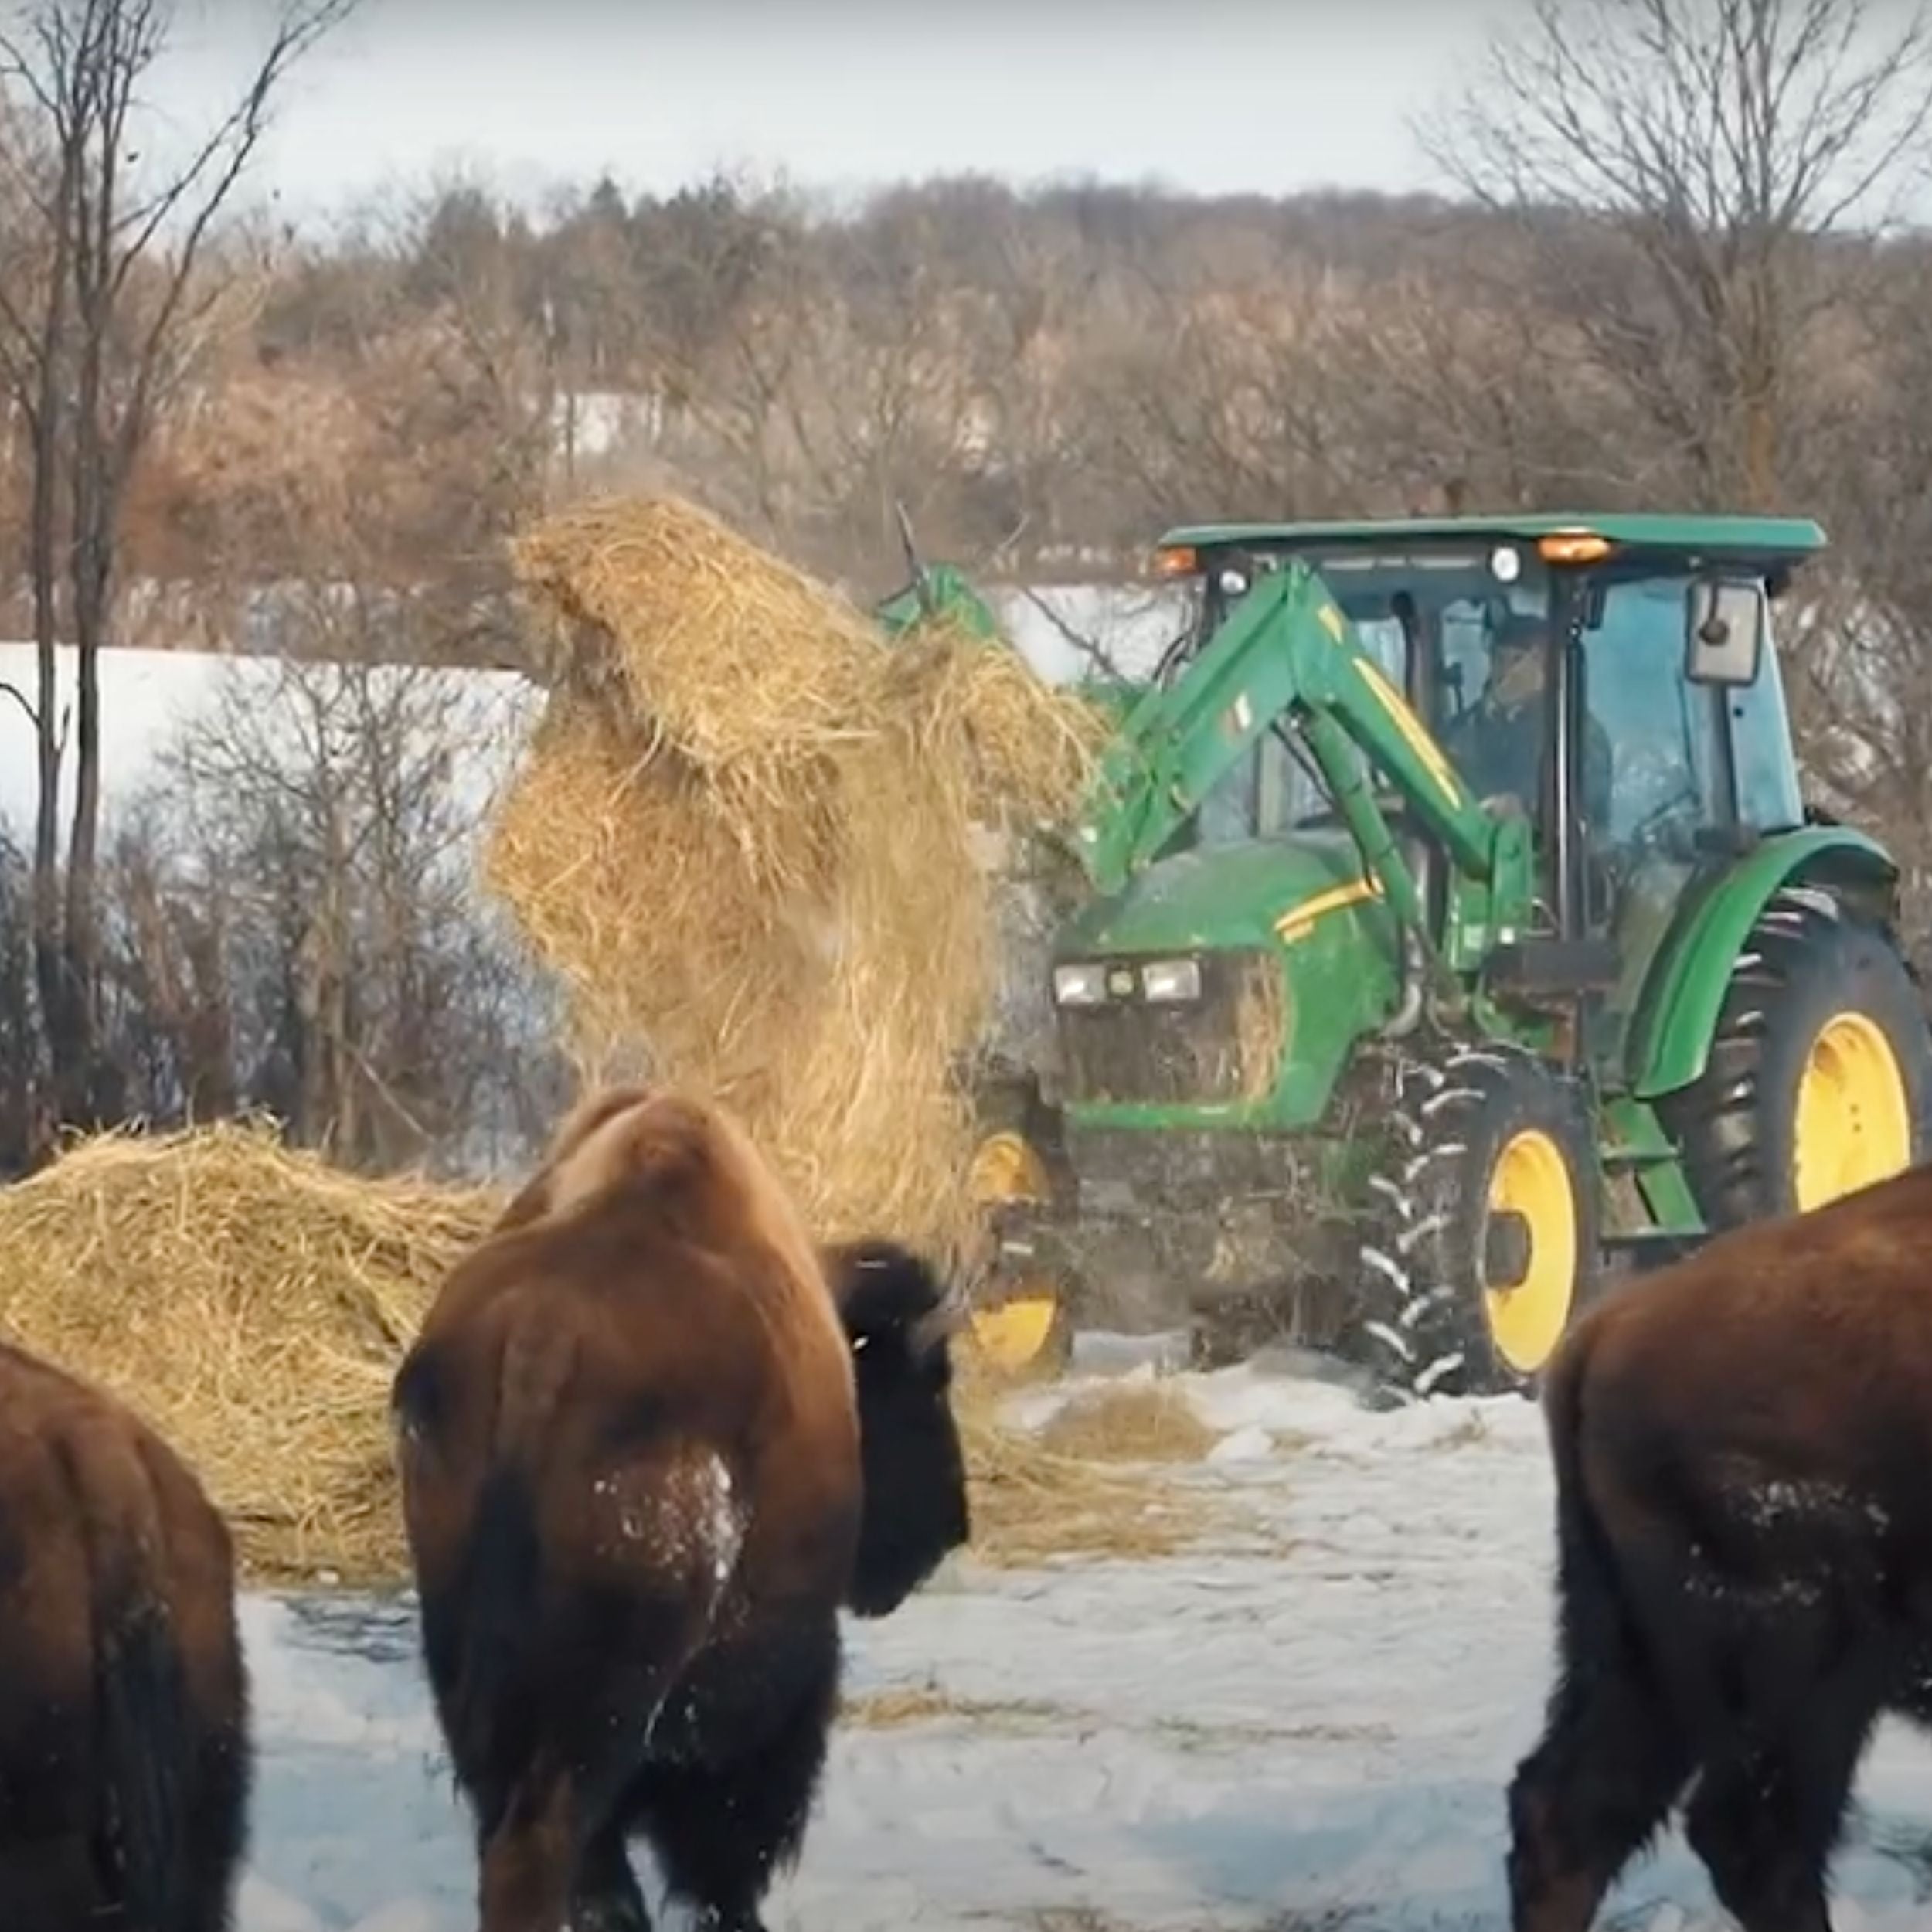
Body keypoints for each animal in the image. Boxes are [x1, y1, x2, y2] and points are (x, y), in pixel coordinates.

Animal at [392, 1090, 974, 1932]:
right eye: (927, 1387)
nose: (951, 1529)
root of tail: (545, 1333)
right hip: (621, 1683)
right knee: (550, 1837)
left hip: (464, 1652)